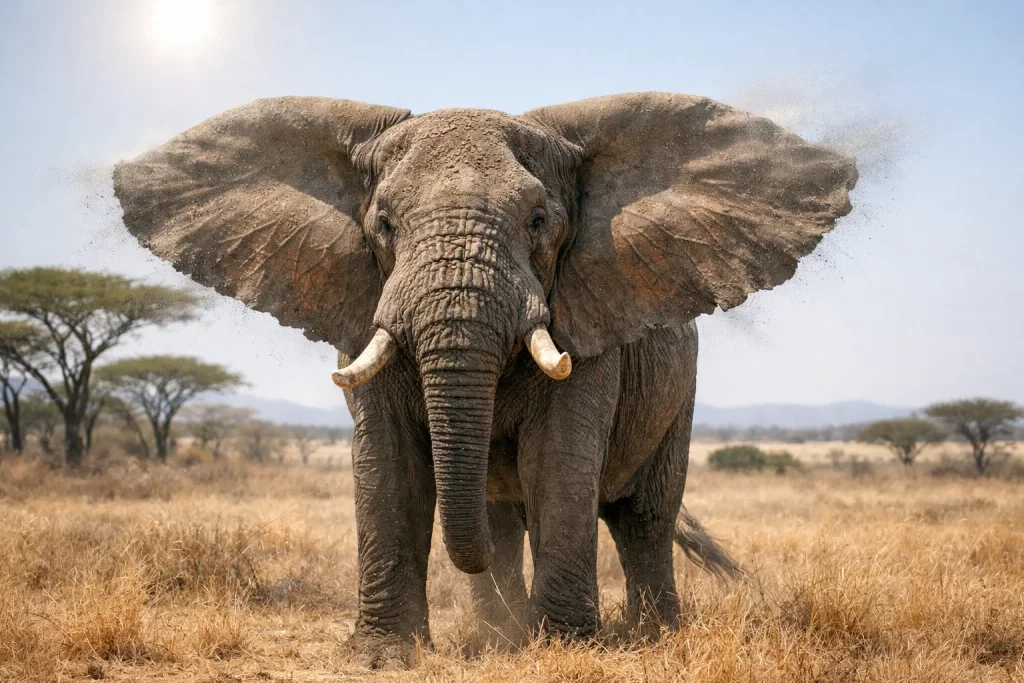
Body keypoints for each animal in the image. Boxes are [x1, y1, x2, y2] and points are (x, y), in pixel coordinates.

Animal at [112, 92, 856, 666]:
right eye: (384, 224)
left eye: (539, 221)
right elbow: (388, 463)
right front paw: (385, 657)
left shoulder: (585, 316)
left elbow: (558, 461)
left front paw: (562, 648)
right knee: (502, 518)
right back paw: (500, 631)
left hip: (680, 387)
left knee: (642, 515)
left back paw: (646, 637)